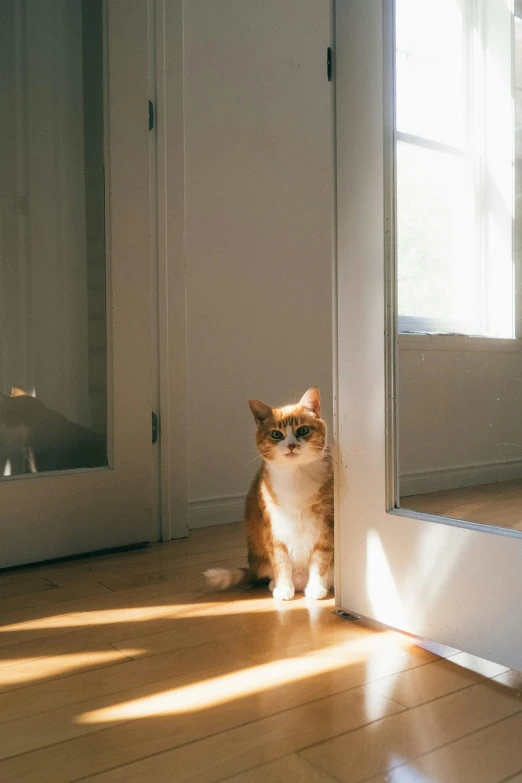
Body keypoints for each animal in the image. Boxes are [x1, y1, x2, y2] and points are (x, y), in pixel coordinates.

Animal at [203, 388, 334, 600]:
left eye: (303, 430)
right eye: (276, 434)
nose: (291, 445)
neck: (295, 476)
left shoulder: (327, 524)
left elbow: (320, 558)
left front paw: (316, 588)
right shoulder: (273, 526)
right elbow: (280, 560)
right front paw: (284, 588)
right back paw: (276, 585)